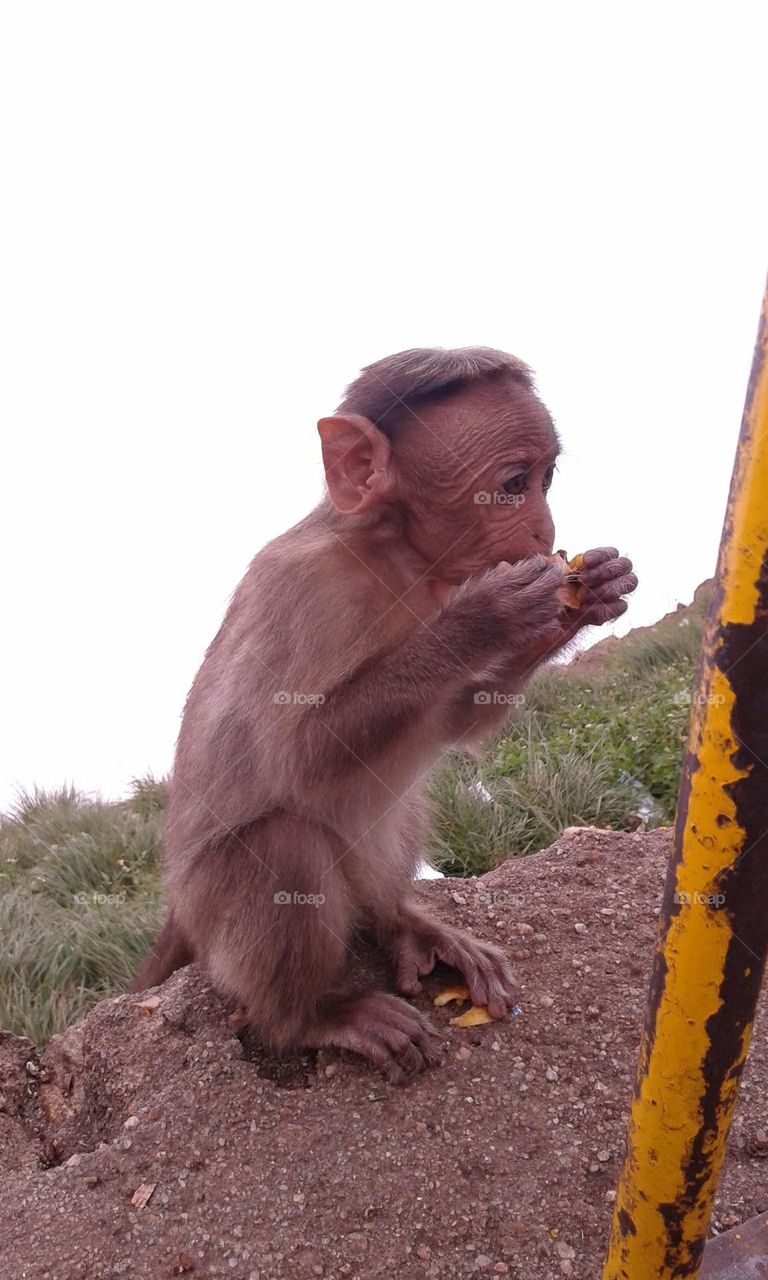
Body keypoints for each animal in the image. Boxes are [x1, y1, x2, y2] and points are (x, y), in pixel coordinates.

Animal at [133, 347, 637, 1083]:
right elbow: (296, 756)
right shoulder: (305, 590)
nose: (545, 531)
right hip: (217, 925)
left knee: (398, 810)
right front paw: (485, 617)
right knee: (285, 846)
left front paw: (587, 593)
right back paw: (313, 1017)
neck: (399, 558)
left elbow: (453, 722)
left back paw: (403, 923)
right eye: (514, 484)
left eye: (547, 479)